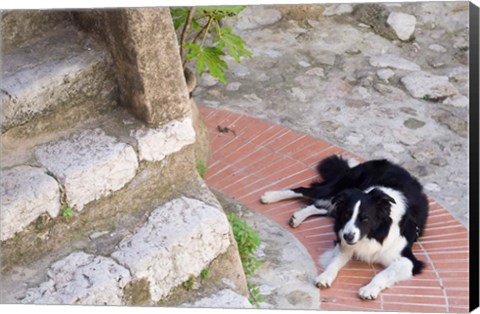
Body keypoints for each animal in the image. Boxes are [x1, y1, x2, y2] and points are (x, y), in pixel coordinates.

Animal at [260, 155, 430, 300]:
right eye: (348, 215)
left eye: (365, 218)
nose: (348, 236)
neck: (374, 233)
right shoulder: (343, 240)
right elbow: (335, 262)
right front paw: (325, 277)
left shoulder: (408, 261)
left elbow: (383, 274)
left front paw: (369, 289)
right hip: (337, 188)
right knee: (305, 191)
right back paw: (270, 196)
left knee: (323, 207)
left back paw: (298, 216)